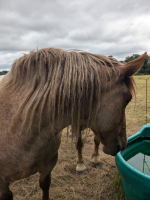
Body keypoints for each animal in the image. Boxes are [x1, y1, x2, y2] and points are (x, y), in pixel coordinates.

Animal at [0, 47, 146, 199]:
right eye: (128, 99)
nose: (124, 144)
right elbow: (79, 144)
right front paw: (80, 167)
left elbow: (96, 141)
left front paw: (95, 160)